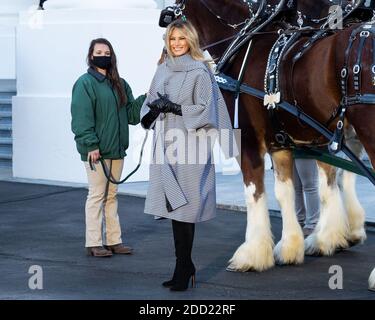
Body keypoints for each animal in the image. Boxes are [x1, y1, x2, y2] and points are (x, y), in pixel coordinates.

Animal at [174, 0, 374, 272]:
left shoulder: (246, 137)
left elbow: (254, 191)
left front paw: (252, 253)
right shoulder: (281, 141)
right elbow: (289, 191)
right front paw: (297, 245)